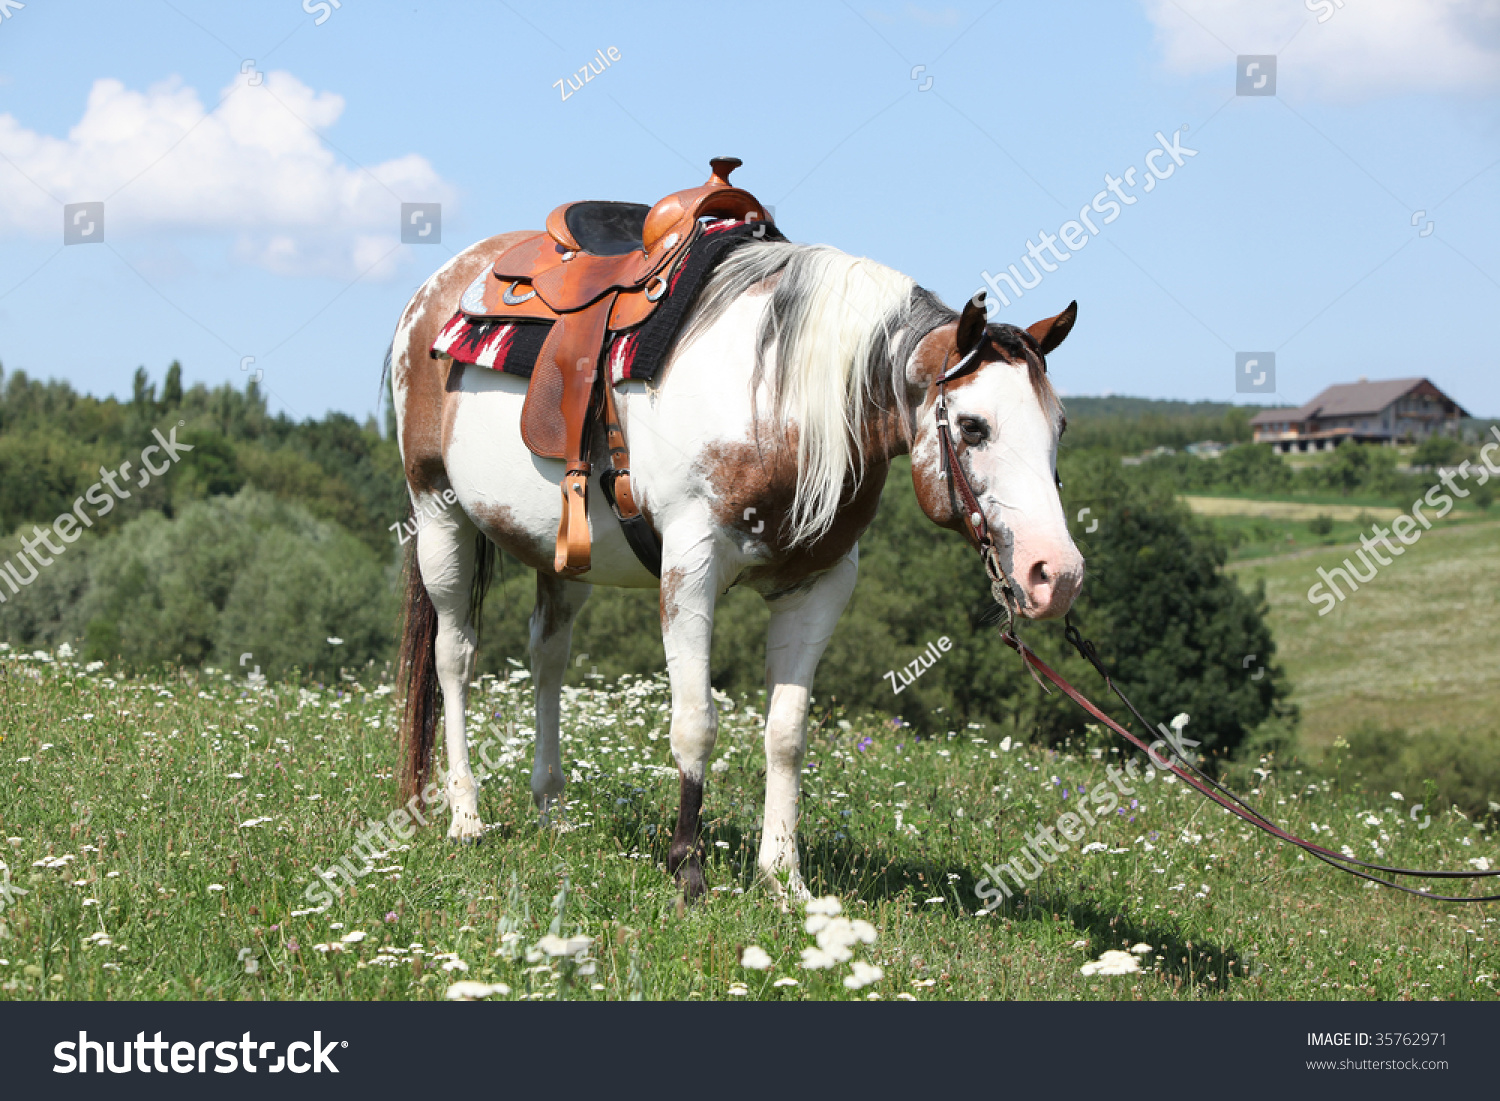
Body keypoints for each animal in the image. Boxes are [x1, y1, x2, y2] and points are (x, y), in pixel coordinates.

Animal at [393, 231, 1086, 900]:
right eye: (973, 427)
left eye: (1060, 427)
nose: (1058, 574)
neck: (781, 403)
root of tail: (439, 287)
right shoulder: (691, 569)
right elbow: (696, 723)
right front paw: (687, 869)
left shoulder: (819, 587)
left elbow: (786, 735)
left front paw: (784, 880)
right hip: (437, 515)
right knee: (454, 657)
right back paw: (465, 815)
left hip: (563, 560)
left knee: (548, 657)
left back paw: (551, 812)